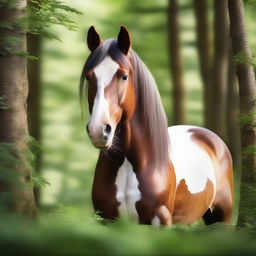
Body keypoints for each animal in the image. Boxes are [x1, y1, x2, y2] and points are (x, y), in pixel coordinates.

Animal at [80, 26, 234, 226]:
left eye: (124, 76)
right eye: (89, 77)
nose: (98, 130)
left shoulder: (160, 220)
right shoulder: (107, 219)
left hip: (222, 217)